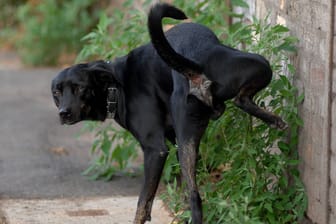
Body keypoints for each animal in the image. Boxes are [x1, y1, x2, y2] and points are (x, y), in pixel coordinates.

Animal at [50, 2, 286, 223]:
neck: (116, 85)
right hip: (254, 70)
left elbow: (143, 202)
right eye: (56, 92)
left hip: (257, 65)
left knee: (195, 196)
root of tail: (195, 67)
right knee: (238, 102)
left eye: (80, 88)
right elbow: (174, 191)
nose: (64, 113)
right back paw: (270, 119)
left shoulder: (155, 151)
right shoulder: (174, 140)